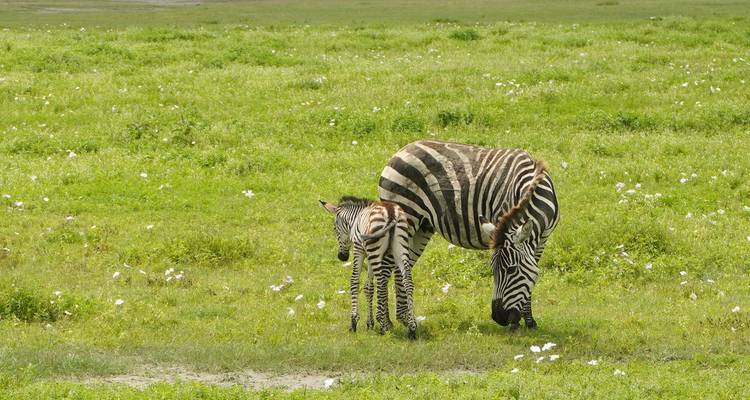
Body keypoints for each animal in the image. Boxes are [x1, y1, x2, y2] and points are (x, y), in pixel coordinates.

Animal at [319, 197, 417, 337]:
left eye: (334, 228)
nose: (341, 257)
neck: (355, 219)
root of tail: (391, 212)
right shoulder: (369, 254)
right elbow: (368, 287)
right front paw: (370, 323)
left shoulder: (359, 249)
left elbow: (355, 281)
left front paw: (354, 321)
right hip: (400, 247)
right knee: (407, 281)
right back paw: (412, 326)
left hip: (376, 249)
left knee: (381, 282)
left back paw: (383, 325)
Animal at [378, 140, 559, 331]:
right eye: (493, 270)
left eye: (511, 270)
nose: (498, 317)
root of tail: (400, 151)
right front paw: (517, 324)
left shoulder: (541, 241)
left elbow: (531, 274)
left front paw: (530, 321)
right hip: (406, 216)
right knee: (385, 267)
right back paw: (385, 323)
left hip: (422, 227)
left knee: (401, 266)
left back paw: (405, 318)